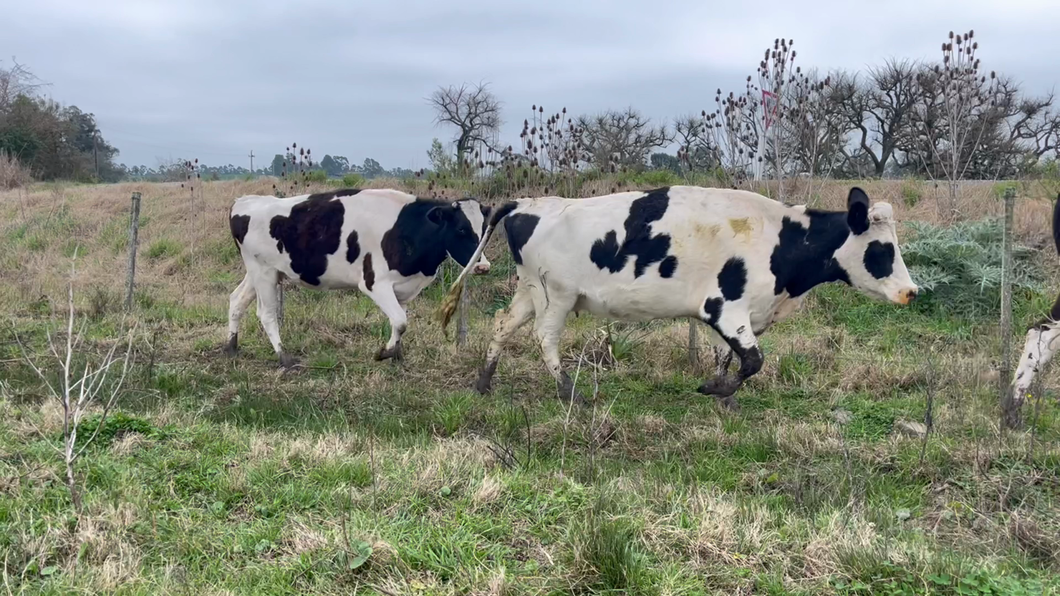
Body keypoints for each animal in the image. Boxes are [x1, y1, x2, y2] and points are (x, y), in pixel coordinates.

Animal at [227, 186, 491, 366]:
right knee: (266, 313)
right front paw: (384, 353)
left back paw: (231, 346)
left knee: (236, 300)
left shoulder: (403, 288)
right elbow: (400, 321)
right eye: (461, 229)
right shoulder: (374, 283)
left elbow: (400, 322)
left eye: (484, 229)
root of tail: (245, 201)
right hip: (264, 272)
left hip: (260, 272)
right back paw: (284, 357)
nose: (483, 266)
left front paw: (397, 355)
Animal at [438, 183, 920, 405]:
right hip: (556, 295)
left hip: (529, 289)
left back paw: (484, 381)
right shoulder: (725, 308)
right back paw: (567, 391)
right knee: (545, 338)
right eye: (883, 249)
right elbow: (753, 360)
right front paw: (715, 389)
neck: (779, 237)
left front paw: (725, 395)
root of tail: (529, 203)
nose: (911, 291)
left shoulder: (736, 316)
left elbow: (729, 357)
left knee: (504, 325)